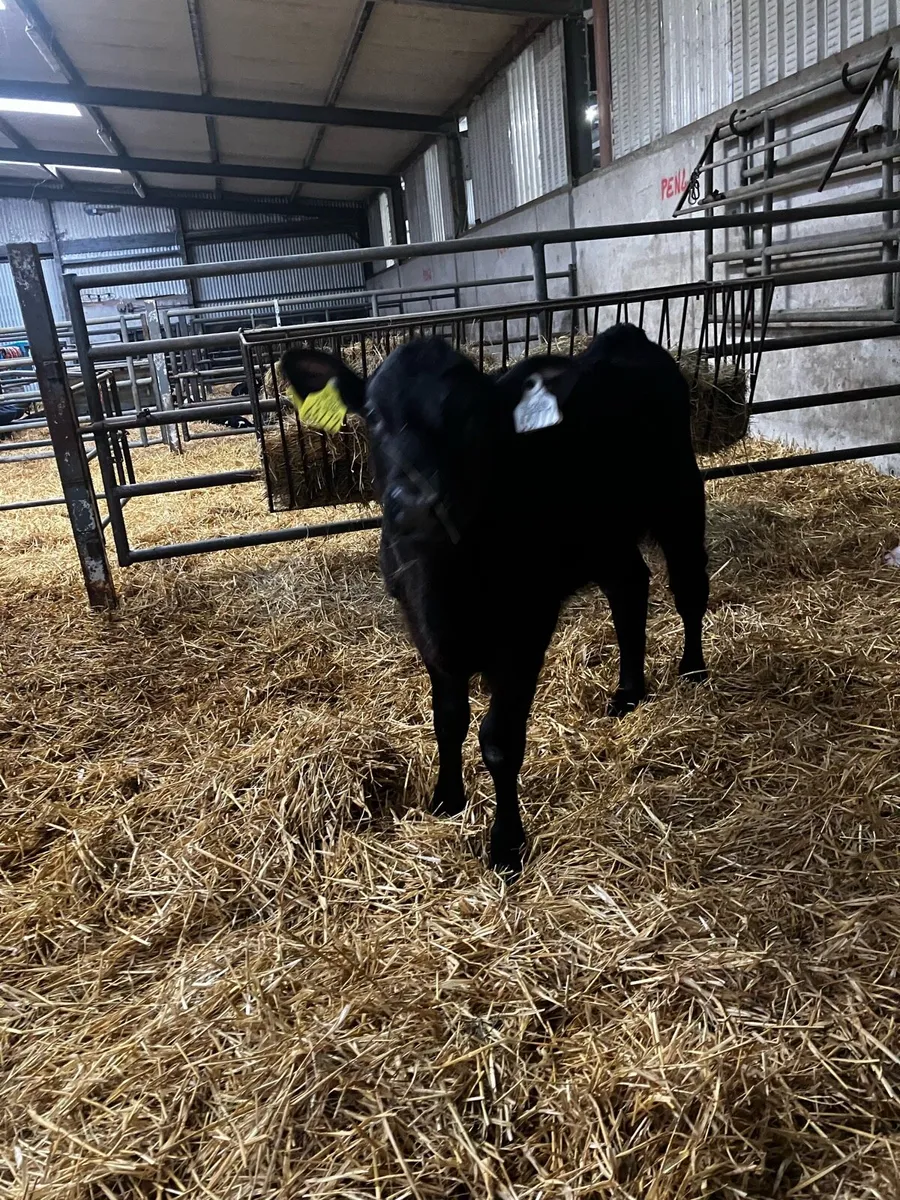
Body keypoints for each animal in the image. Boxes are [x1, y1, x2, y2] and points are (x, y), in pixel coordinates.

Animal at [280, 325, 709, 875]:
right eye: (371, 412)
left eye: (472, 414)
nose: (417, 503)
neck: (448, 577)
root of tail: (624, 338)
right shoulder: (425, 630)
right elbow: (448, 720)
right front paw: (446, 799)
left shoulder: (525, 630)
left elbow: (501, 741)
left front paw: (506, 844)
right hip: (605, 537)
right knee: (630, 588)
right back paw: (629, 691)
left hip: (680, 496)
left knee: (688, 587)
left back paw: (693, 668)